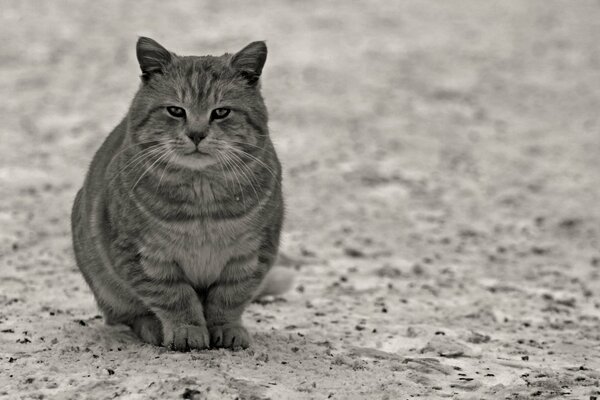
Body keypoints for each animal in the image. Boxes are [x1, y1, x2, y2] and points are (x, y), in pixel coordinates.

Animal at [69, 36, 290, 350]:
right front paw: (187, 330)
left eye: (221, 112)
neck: (203, 198)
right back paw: (152, 327)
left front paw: (227, 328)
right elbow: (175, 298)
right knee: (128, 315)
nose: (196, 134)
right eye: (176, 110)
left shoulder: (251, 254)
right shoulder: (145, 256)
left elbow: (229, 299)